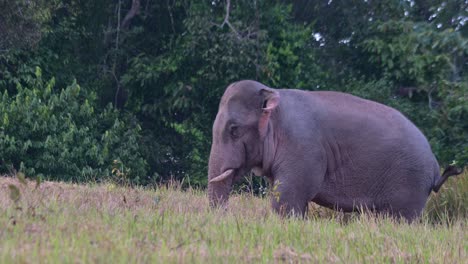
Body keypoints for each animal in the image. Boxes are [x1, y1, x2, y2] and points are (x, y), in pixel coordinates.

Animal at [207, 80, 460, 221]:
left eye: (234, 130)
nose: (225, 217)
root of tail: (435, 166)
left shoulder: (303, 149)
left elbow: (288, 197)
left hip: (410, 182)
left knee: (399, 219)